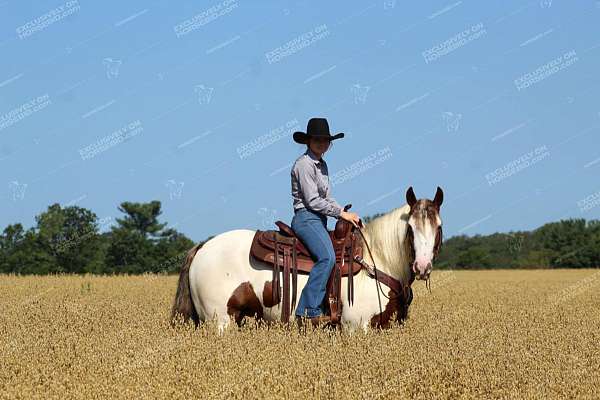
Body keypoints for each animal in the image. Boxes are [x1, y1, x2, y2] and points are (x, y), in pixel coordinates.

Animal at [171, 186, 442, 332]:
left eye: (438, 227)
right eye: (411, 229)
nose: (422, 267)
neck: (377, 262)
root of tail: (203, 246)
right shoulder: (356, 328)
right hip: (219, 321)